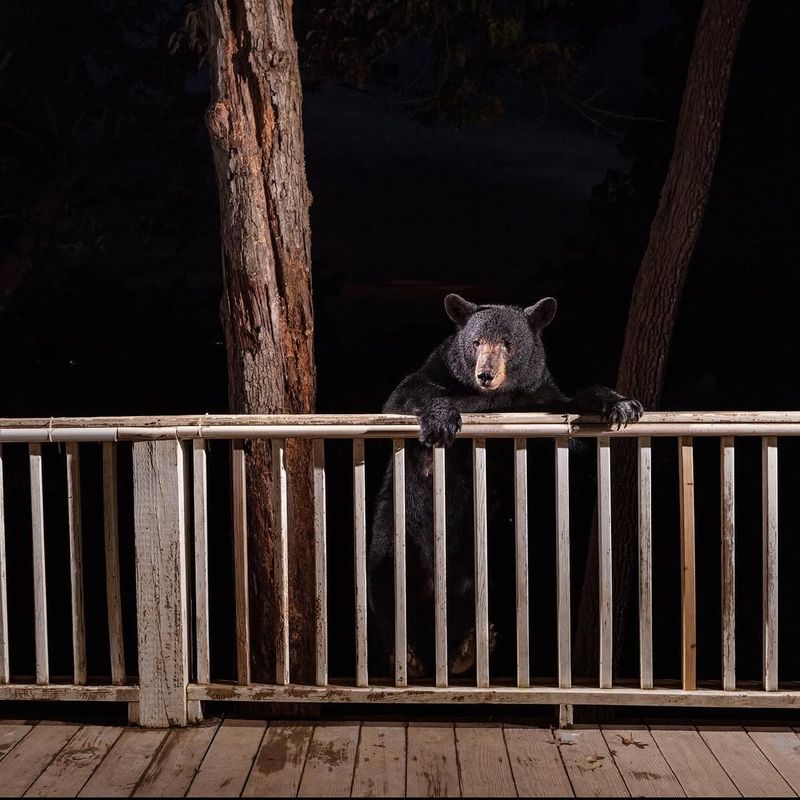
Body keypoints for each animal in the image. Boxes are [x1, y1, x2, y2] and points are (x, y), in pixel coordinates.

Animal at [367, 294, 643, 679]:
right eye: (475, 342)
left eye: (508, 344)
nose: (485, 375)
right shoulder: (434, 371)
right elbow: (406, 396)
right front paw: (441, 420)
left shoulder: (542, 396)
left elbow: (571, 426)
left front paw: (621, 403)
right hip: (395, 530)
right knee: (386, 580)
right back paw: (407, 654)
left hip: (492, 558)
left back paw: (467, 648)